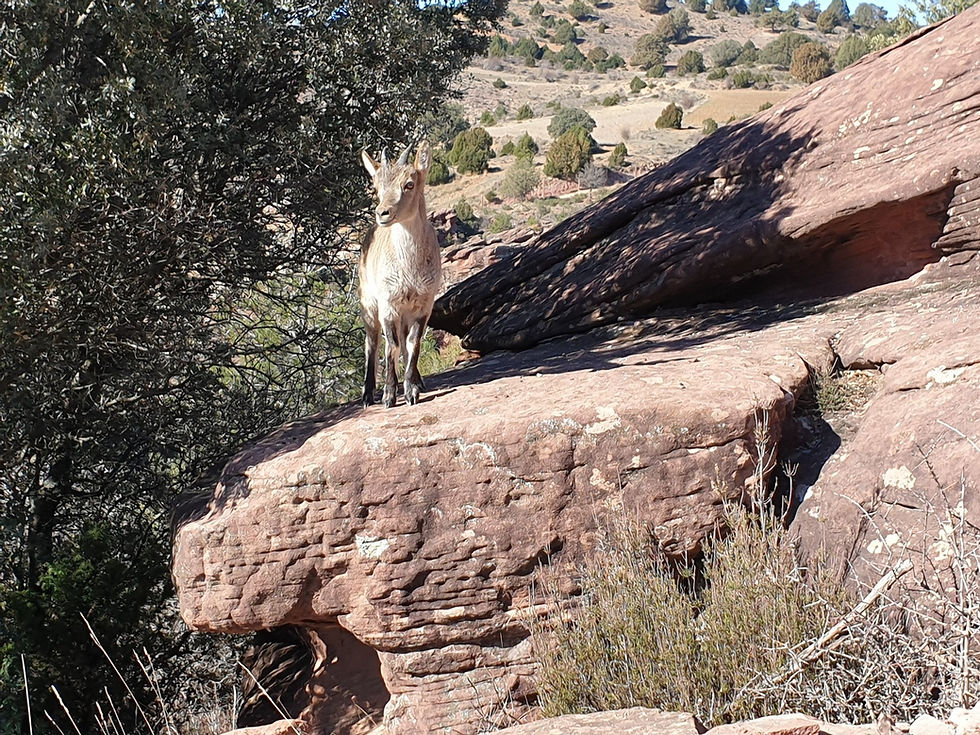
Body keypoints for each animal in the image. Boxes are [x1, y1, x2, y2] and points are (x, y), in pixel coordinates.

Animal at [359, 141, 442, 408]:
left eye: (409, 184)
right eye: (376, 188)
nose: (382, 213)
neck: (408, 269)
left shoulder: (424, 303)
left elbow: (413, 344)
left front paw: (411, 391)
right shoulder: (389, 304)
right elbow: (391, 346)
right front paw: (388, 395)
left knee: (405, 343)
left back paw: (418, 381)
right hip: (368, 303)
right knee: (372, 343)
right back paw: (367, 394)